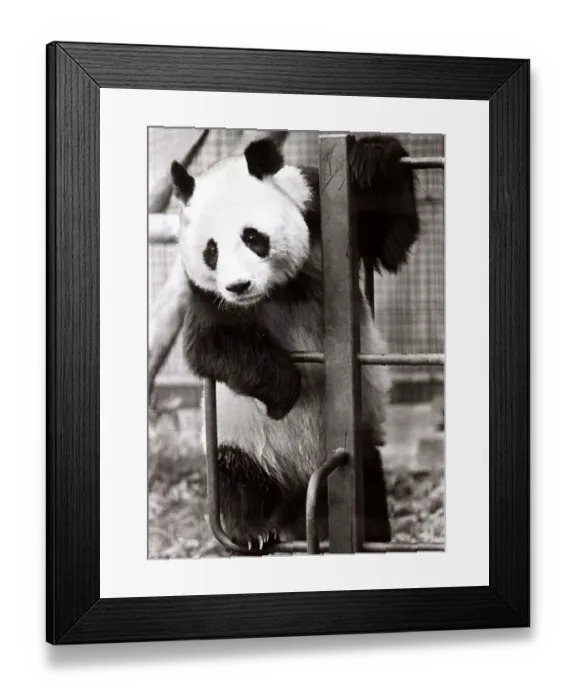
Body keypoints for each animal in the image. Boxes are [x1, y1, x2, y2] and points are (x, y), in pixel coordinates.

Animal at [169, 135, 420, 553]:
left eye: (252, 237)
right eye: (211, 250)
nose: (239, 286)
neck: (277, 288)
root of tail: (295, 502)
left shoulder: (317, 210)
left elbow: (389, 238)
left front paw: (372, 157)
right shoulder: (207, 294)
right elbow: (207, 345)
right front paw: (285, 388)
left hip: (359, 444)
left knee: (367, 479)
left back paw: (368, 532)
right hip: (242, 441)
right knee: (235, 478)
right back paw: (252, 531)